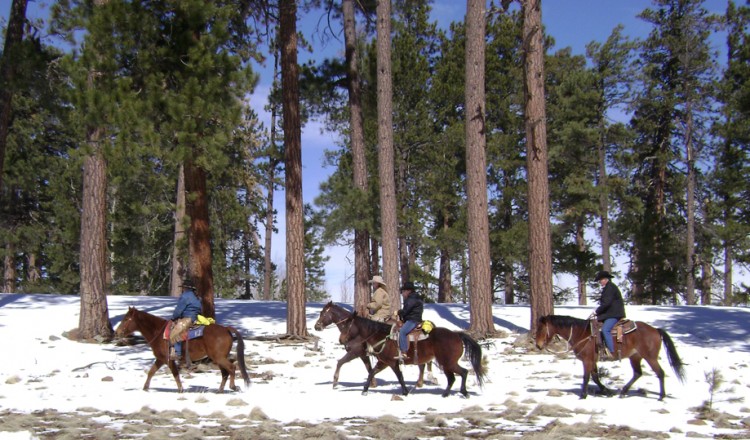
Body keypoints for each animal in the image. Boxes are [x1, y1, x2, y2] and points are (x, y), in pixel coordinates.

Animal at [114, 306, 250, 396]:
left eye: (126, 319)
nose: (117, 332)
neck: (158, 332)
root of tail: (226, 329)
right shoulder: (160, 359)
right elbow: (151, 372)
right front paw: (145, 388)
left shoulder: (168, 360)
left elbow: (175, 374)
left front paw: (180, 390)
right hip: (218, 358)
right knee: (225, 373)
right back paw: (220, 391)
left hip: (219, 358)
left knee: (231, 368)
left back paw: (233, 387)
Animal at [340, 310, 488, 398]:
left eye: (346, 326)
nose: (342, 340)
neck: (382, 336)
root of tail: (456, 335)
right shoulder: (383, 362)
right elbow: (371, 373)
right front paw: (364, 390)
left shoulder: (392, 362)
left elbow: (399, 376)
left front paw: (405, 392)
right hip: (446, 364)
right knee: (453, 378)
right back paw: (446, 394)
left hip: (448, 362)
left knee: (463, 373)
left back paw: (462, 392)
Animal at [536, 314, 688, 400]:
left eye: (541, 328)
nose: (538, 345)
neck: (582, 334)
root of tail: (656, 330)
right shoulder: (592, 361)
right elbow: (595, 377)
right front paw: (607, 392)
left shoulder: (587, 360)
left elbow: (586, 377)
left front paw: (583, 395)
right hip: (635, 357)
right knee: (637, 373)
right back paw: (623, 392)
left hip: (650, 357)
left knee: (660, 373)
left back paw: (661, 396)